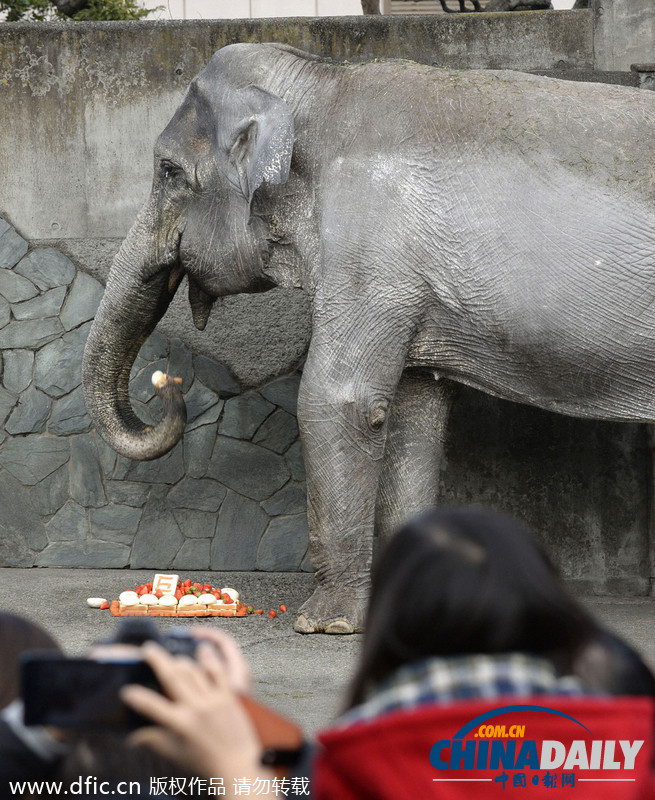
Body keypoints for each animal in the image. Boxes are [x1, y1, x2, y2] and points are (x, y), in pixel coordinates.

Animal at [82, 43, 655, 636]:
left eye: (169, 172)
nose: (166, 384)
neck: (322, 78)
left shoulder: (370, 251)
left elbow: (336, 399)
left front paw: (325, 625)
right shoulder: (409, 283)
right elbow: (411, 419)